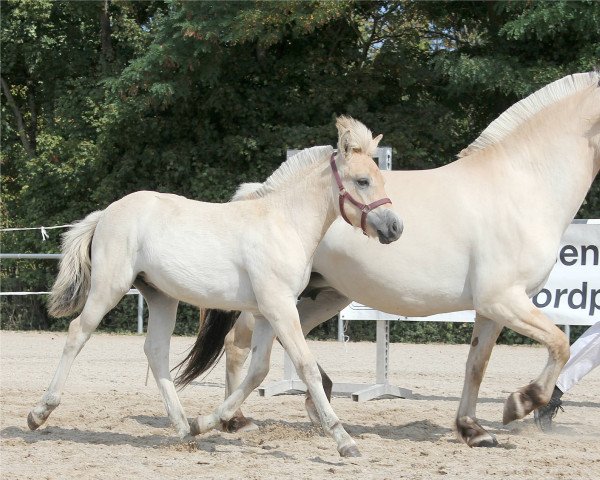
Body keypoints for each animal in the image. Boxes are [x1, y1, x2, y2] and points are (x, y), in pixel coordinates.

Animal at [28, 116, 404, 458]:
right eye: (363, 180)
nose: (395, 228)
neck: (284, 223)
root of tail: (106, 213)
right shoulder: (280, 307)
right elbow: (305, 366)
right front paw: (345, 441)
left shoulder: (268, 313)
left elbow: (258, 371)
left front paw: (207, 423)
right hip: (110, 287)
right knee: (78, 332)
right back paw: (39, 413)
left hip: (161, 297)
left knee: (156, 351)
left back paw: (184, 429)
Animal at [217, 71, 600, 446]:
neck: (521, 184)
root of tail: (260, 194)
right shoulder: (503, 299)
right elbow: (560, 344)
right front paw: (521, 403)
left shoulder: (492, 309)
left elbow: (477, 364)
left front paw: (472, 429)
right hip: (271, 298)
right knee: (237, 343)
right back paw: (236, 420)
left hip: (324, 295)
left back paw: (313, 400)